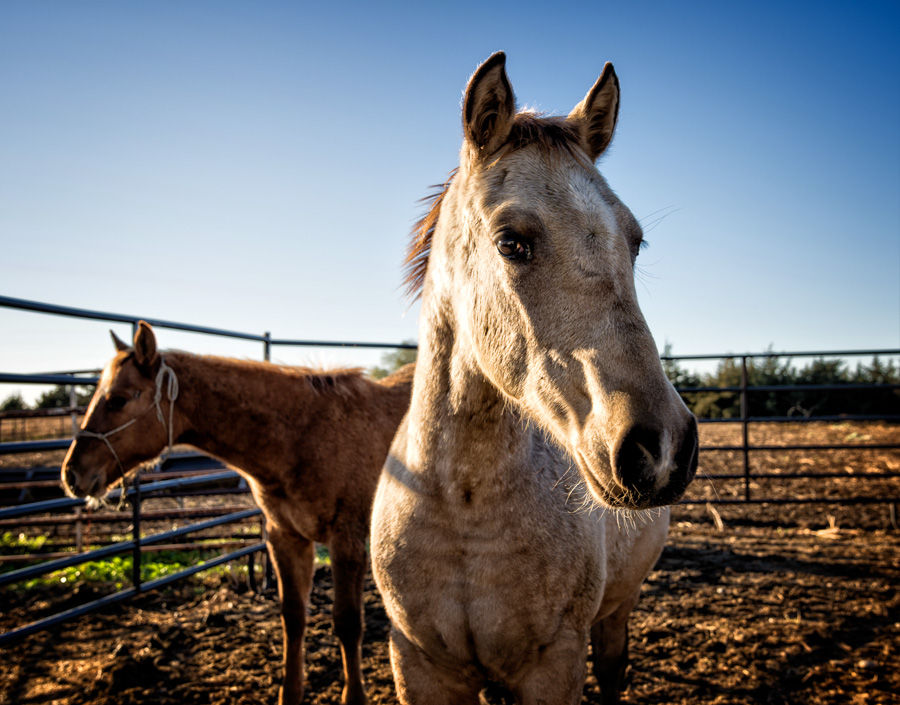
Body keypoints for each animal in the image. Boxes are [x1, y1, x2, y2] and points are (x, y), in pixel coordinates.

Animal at [61, 321, 414, 705]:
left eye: (118, 399)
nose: (72, 474)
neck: (305, 433)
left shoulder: (345, 539)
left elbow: (348, 623)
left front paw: (354, 696)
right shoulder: (285, 537)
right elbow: (293, 617)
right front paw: (289, 694)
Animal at [370, 53, 698, 705]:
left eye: (635, 242)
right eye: (511, 242)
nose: (662, 447)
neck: (462, 507)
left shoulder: (554, 662)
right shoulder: (417, 662)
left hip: (617, 612)